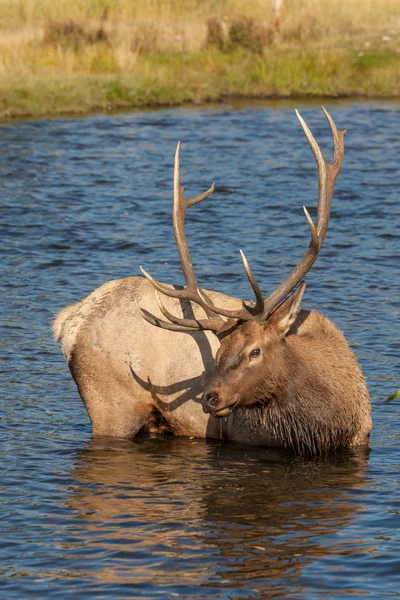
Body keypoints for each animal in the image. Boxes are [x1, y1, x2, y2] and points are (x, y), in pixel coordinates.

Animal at [53, 109, 372, 454]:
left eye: (255, 351)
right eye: (219, 354)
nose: (209, 398)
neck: (327, 427)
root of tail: (69, 322)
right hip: (111, 406)